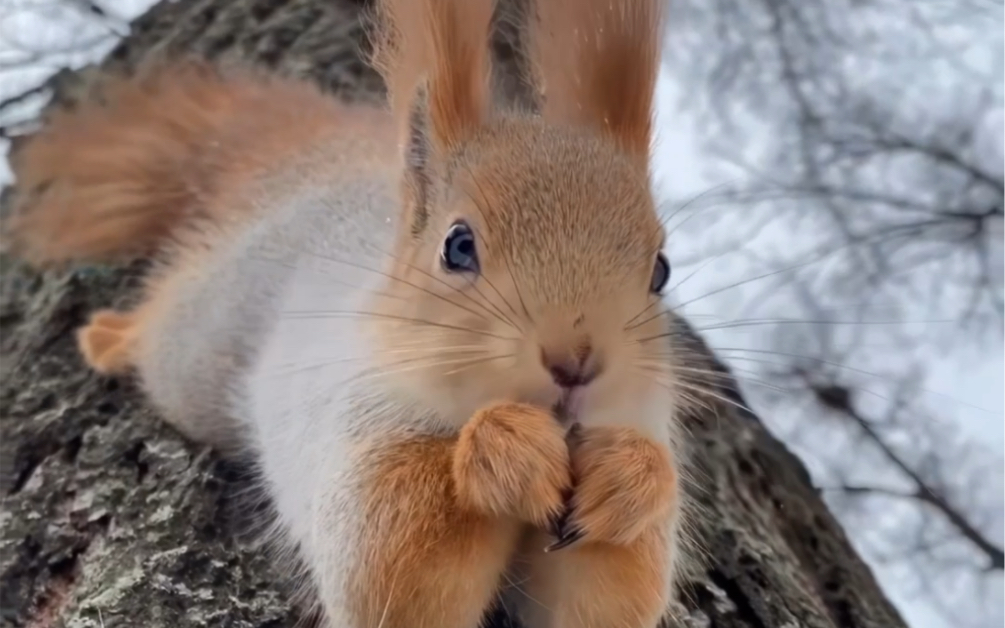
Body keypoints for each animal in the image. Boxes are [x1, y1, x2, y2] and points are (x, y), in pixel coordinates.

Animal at [7, 1, 695, 626]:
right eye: (458, 246)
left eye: (661, 270)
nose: (576, 362)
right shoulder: (344, 421)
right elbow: (384, 555)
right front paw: (504, 448)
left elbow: (612, 596)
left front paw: (629, 478)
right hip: (198, 347)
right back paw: (110, 336)